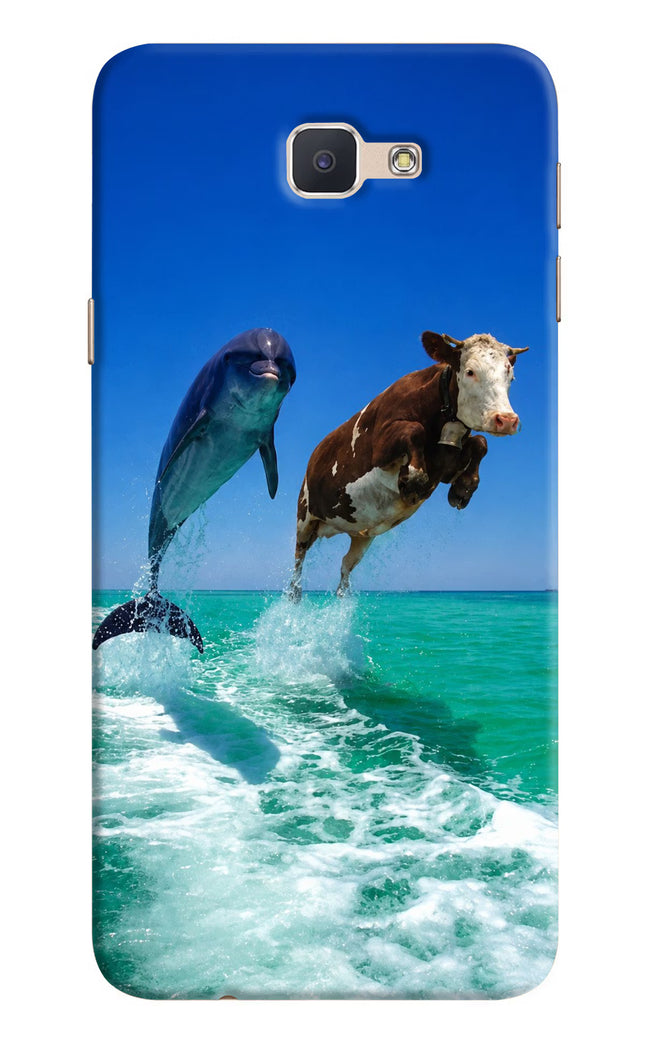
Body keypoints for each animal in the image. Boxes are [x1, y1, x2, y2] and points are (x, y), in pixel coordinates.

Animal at [289, 330, 528, 599]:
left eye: (510, 375)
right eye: (470, 371)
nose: (506, 420)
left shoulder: (446, 465)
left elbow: (480, 442)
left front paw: (463, 489)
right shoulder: (380, 446)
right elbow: (414, 430)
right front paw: (413, 480)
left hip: (361, 534)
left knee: (345, 565)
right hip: (304, 516)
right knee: (298, 559)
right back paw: (295, 594)